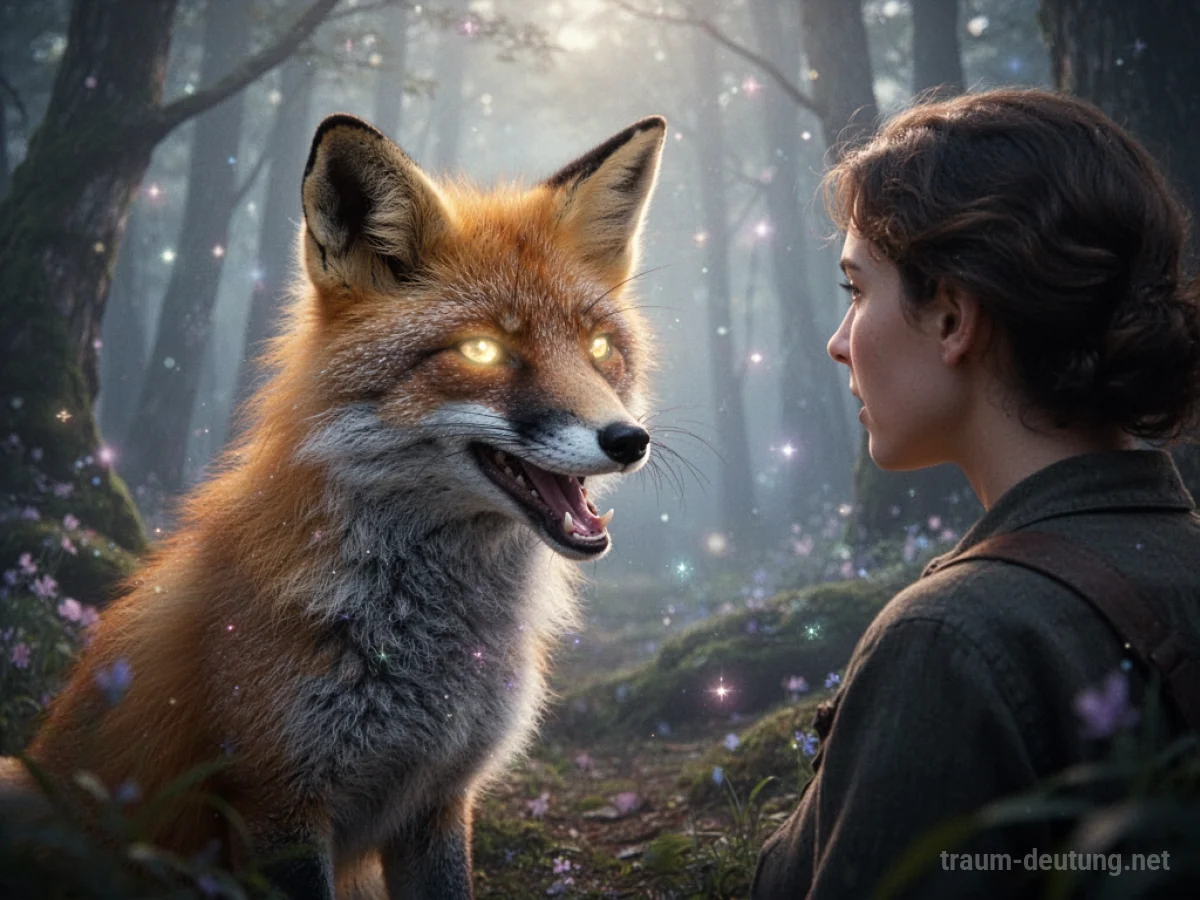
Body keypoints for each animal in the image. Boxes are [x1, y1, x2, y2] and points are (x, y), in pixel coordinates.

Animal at [0, 112, 667, 899]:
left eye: (599, 348)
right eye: (481, 351)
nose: (629, 440)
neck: (427, 654)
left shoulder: (439, 798)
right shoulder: (277, 802)